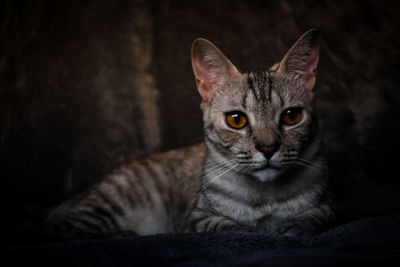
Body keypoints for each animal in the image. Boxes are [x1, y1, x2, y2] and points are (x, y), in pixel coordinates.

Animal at [42, 29, 334, 241]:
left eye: (291, 116)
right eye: (236, 119)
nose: (269, 147)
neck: (266, 197)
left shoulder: (328, 206)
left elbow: (311, 219)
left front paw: (291, 227)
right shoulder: (198, 218)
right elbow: (232, 228)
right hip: (111, 202)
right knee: (59, 227)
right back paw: (120, 233)